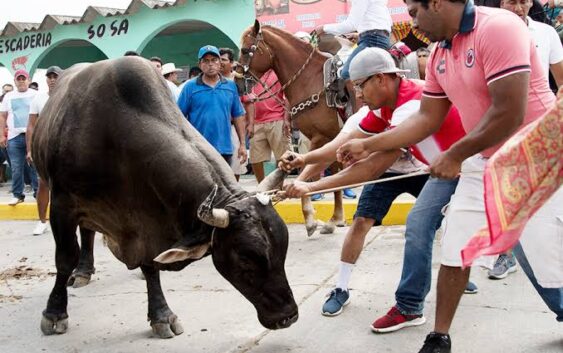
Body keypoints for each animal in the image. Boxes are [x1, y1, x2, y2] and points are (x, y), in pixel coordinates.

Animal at [33, 57, 300, 338]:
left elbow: (150, 266)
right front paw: (54, 313)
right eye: (245, 260)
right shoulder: (62, 204)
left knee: (88, 231)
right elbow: (64, 258)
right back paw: (81, 272)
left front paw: (161, 315)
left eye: (283, 250)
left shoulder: (146, 223)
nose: (288, 316)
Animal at [241, 20, 350, 235]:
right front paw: (334, 219)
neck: (310, 79)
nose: (237, 80)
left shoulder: (319, 137)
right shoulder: (330, 136)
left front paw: (309, 218)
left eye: (244, 50)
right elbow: (333, 174)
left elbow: (305, 171)